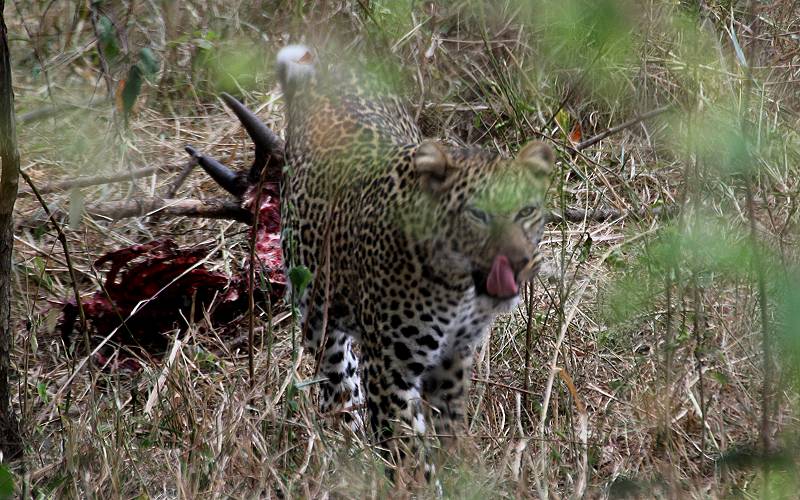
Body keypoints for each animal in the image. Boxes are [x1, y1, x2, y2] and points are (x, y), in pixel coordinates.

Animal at [278, 45, 552, 466]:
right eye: (477, 214)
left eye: (526, 211)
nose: (521, 263)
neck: (457, 286)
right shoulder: (391, 372)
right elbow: (408, 454)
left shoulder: (452, 362)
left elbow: (449, 434)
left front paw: (462, 471)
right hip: (317, 313)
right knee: (337, 385)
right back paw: (347, 448)